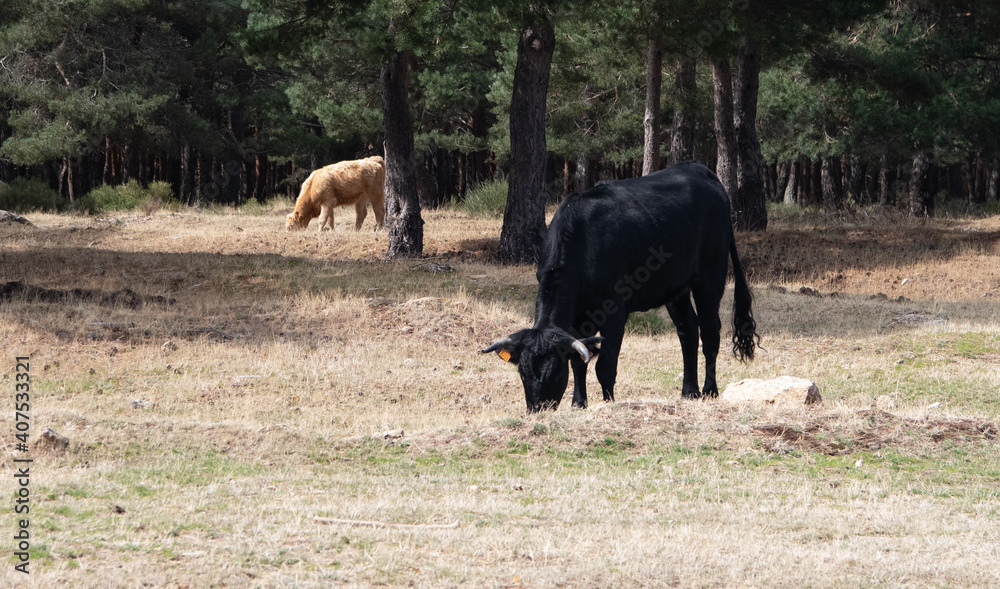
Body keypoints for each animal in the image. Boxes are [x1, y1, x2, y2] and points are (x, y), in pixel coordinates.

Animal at [482, 158, 756, 412]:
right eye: (523, 373)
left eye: (554, 372)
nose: (538, 409)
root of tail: (701, 169)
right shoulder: (577, 319)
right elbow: (579, 362)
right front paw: (579, 403)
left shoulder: (614, 311)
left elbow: (605, 365)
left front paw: (608, 402)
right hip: (676, 287)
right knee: (688, 330)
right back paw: (689, 391)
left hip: (710, 275)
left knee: (710, 331)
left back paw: (710, 390)